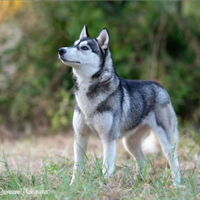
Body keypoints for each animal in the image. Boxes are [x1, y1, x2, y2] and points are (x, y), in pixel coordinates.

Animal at [57, 25, 181, 184]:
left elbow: (106, 167)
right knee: (143, 161)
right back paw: (139, 182)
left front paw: (105, 184)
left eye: (84, 47)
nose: (61, 50)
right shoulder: (80, 136)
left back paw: (177, 185)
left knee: (174, 162)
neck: (88, 94)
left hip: (166, 142)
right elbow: (77, 168)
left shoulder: (109, 139)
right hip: (129, 143)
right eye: (73, 44)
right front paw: (74, 185)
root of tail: (161, 87)